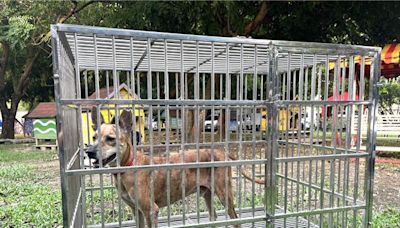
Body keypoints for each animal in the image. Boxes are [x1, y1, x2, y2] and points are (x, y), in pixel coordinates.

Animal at [86, 108, 264, 227]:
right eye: (94, 137)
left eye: (110, 139)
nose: (89, 152)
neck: (129, 166)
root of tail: (221, 151)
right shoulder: (137, 211)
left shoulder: (151, 211)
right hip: (207, 193)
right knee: (213, 216)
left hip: (224, 194)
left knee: (236, 219)